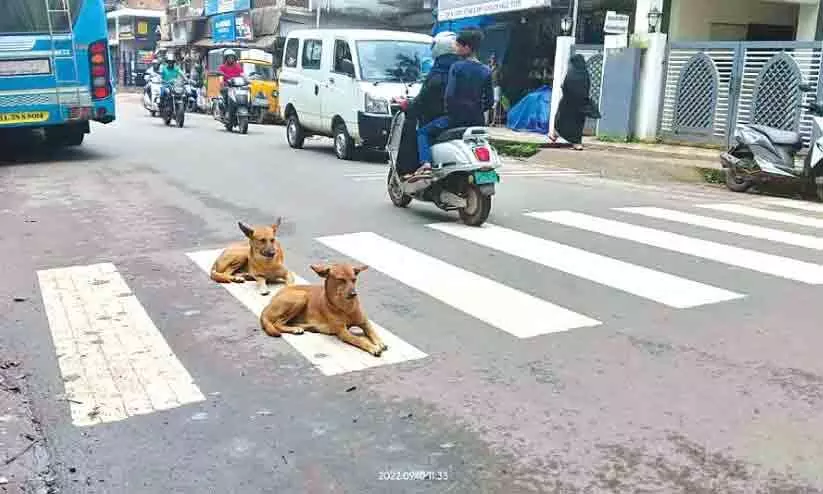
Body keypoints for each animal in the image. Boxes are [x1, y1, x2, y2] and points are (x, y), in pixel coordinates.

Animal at [260, 264, 390, 356]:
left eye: (354, 279)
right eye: (341, 280)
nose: (354, 294)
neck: (346, 307)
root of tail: (269, 303)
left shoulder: (364, 322)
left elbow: (373, 332)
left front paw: (379, 342)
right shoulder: (343, 332)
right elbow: (359, 340)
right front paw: (373, 347)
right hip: (301, 297)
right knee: (277, 323)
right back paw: (295, 329)